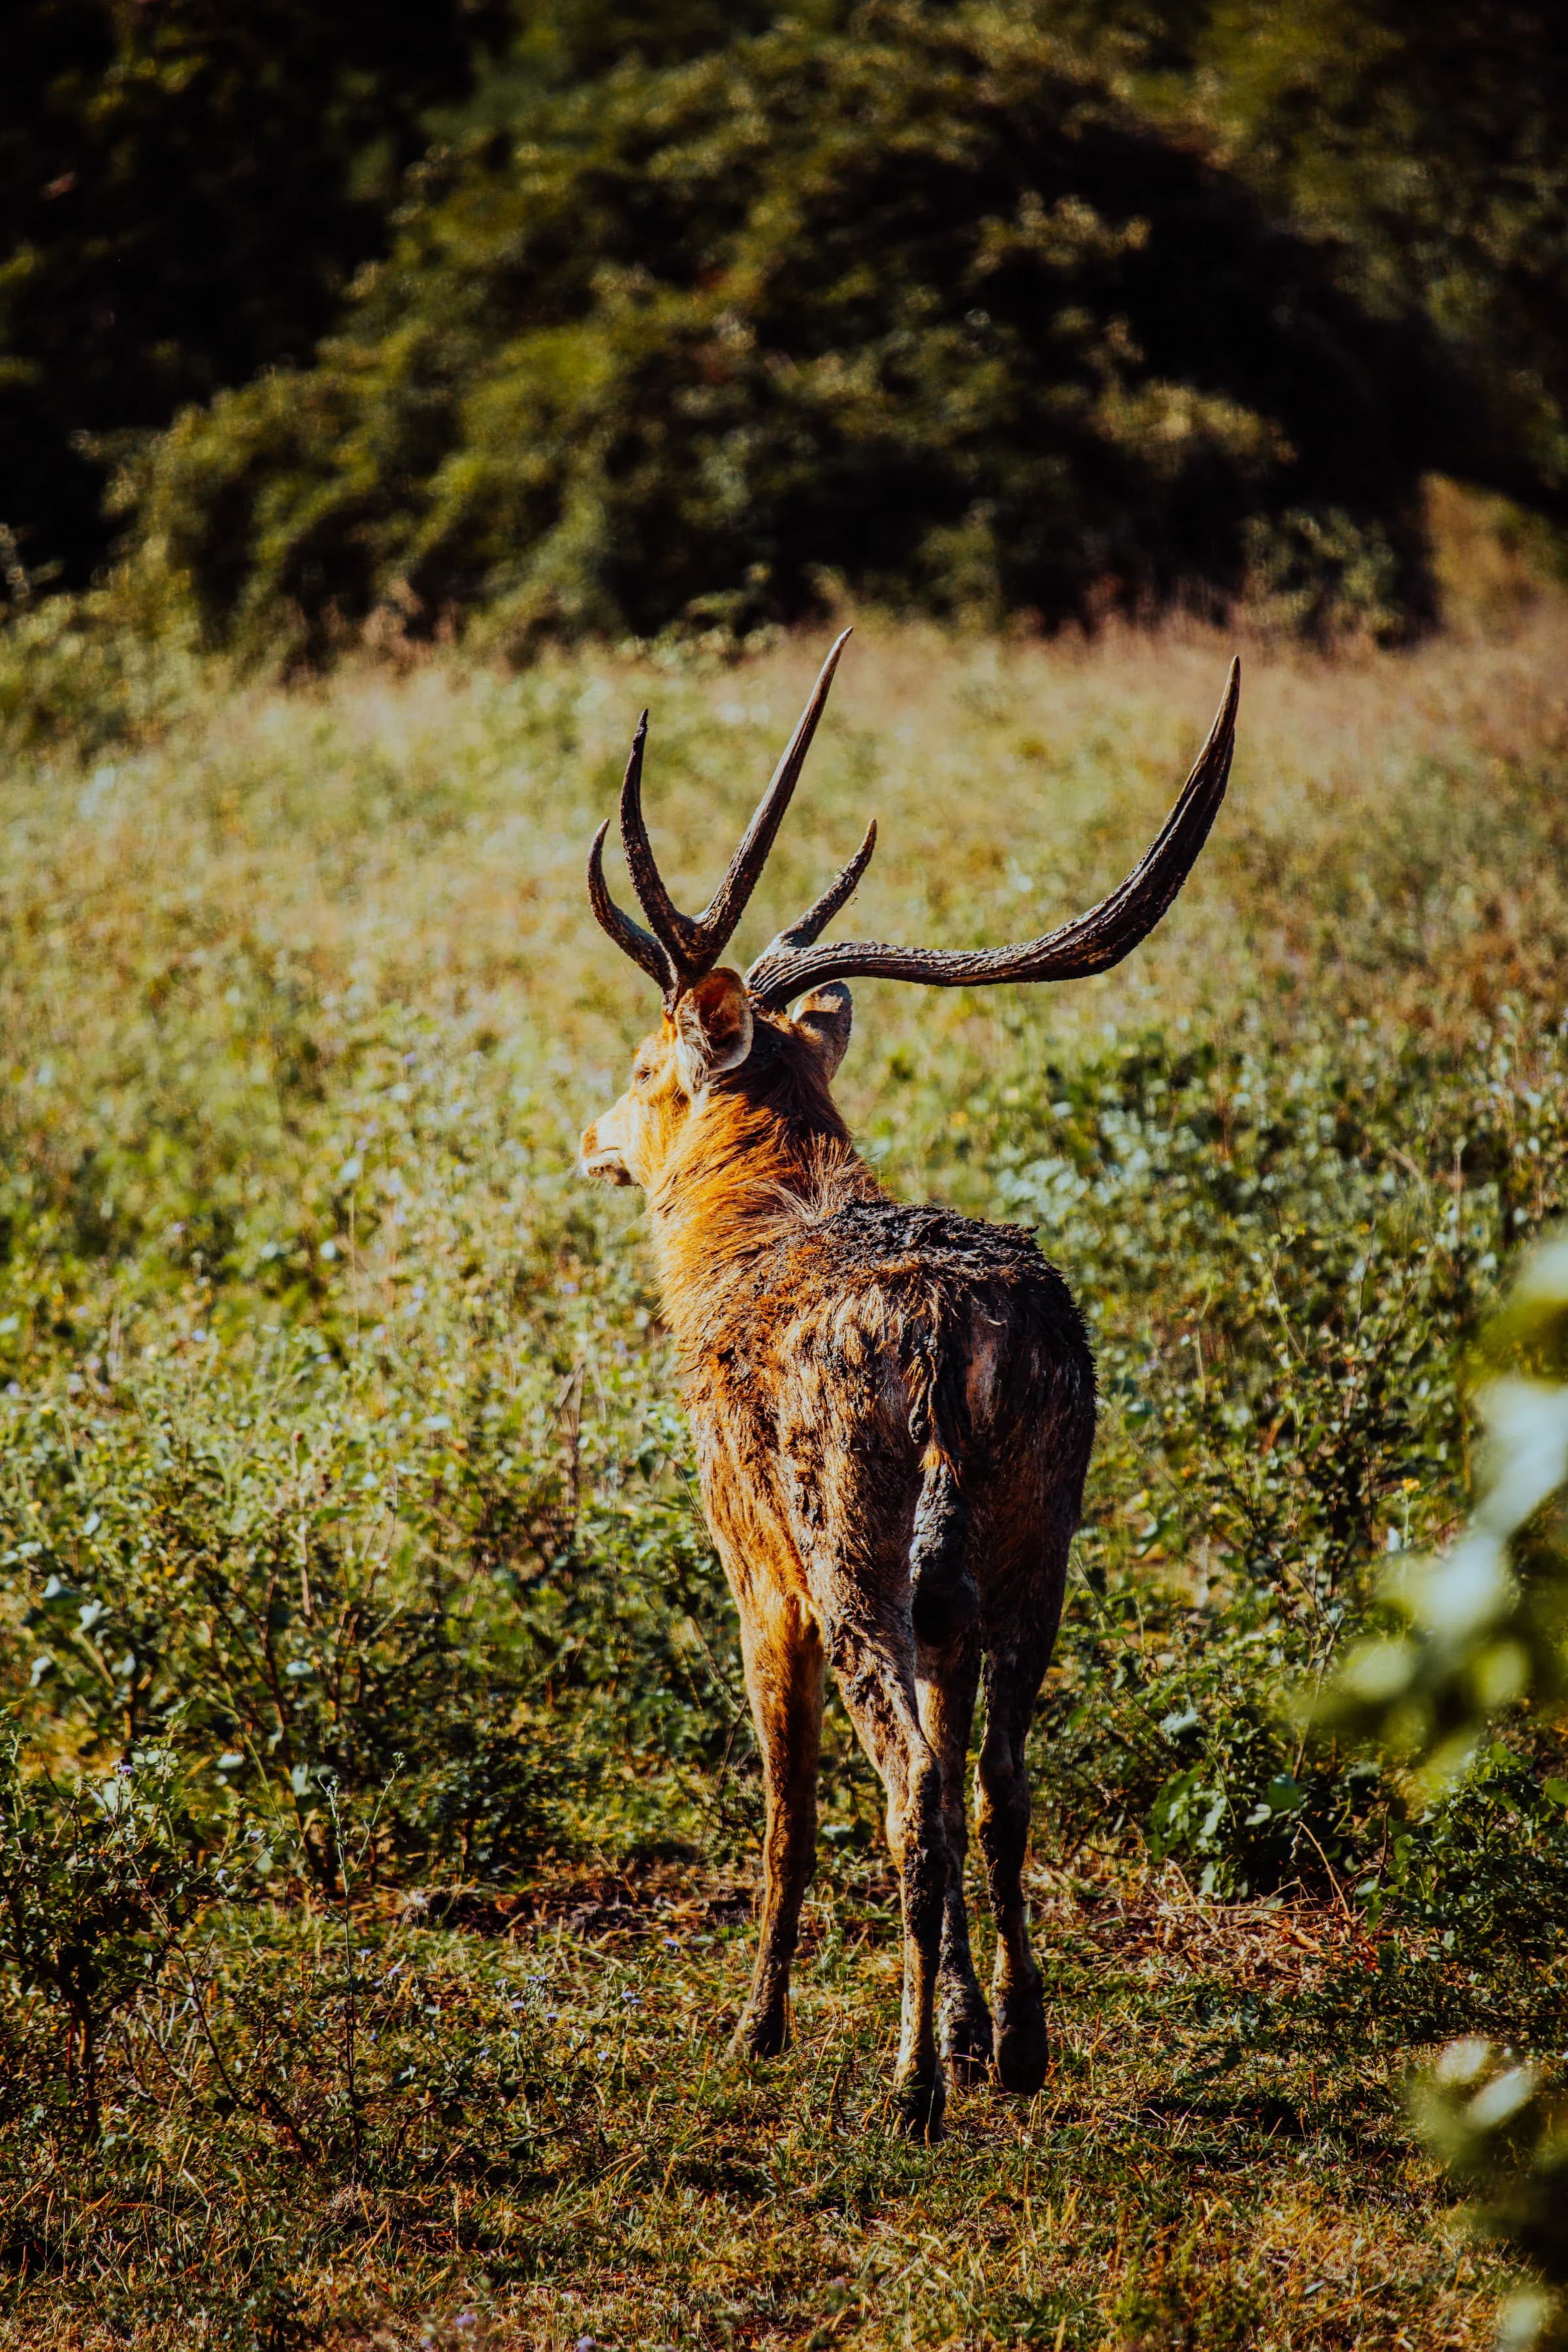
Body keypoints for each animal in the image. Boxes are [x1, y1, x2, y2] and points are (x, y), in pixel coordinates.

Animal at [579, 633, 1238, 2137]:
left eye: (646, 1063)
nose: (592, 1133)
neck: (742, 1240)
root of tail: (948, 1334)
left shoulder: (749, 1561)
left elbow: (785, 1812)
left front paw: (757, 2031)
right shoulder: (953, 1594)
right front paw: (974, 2025)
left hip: (849, 1542)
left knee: (907, 1790)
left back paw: (906, 2091)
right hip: (1038, 1529)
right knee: (995, 1784)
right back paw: (1022, 2049)